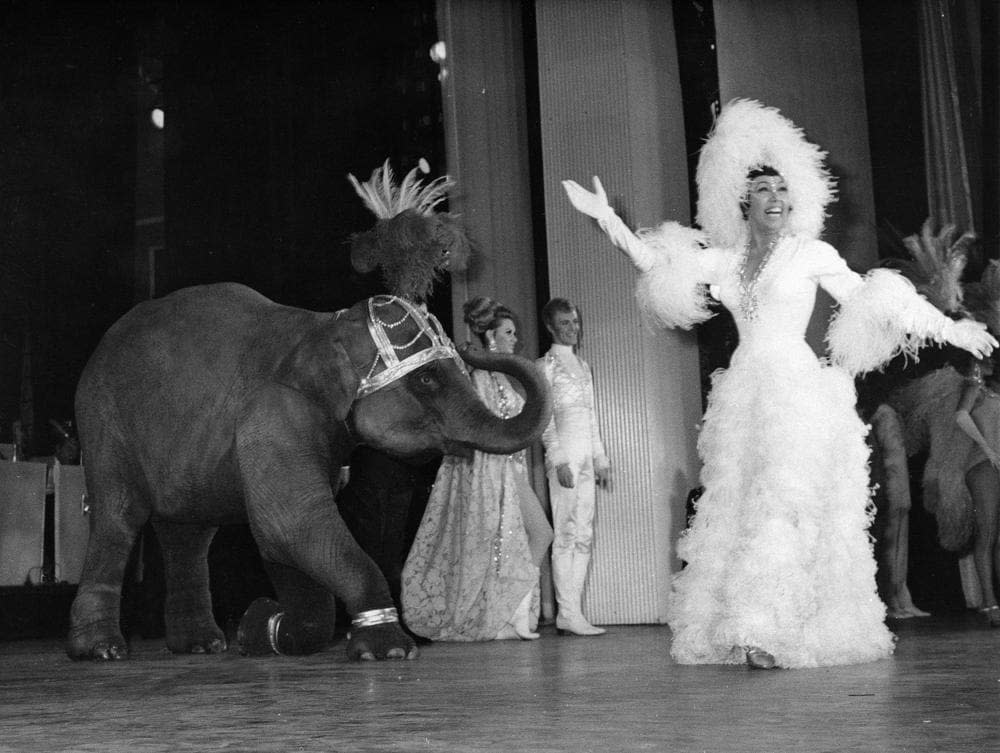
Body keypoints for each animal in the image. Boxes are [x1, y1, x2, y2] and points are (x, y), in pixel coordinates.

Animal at [68, 284, 556, 660]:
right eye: (427, 380)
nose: (477, 341)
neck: (322, 327)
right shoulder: (273, 417)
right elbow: (293, 524)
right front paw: (389, 649)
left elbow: (279, 540)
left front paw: (260, 627)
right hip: (103, 424)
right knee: (118, 518)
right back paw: (102, 650)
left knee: (188, 535)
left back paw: (203, 646)